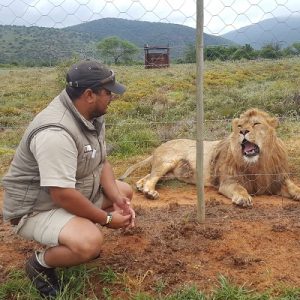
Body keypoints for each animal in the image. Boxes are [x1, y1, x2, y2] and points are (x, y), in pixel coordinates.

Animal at [120, 109, 300, 207]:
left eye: (256, 124)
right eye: (240, 126)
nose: (243, 132)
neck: (258, 164)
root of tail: (158, 147)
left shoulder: (276, 178)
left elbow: (292, 185)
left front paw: (298, 192)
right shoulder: (228, 181)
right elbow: (239, 188)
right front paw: (243, 198)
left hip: (170, 172)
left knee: (148, 175)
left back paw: (140, 185)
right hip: (166, 162)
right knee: (152, 177)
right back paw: (149, 192)